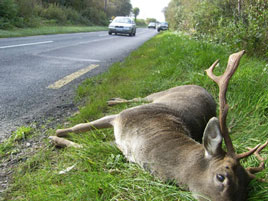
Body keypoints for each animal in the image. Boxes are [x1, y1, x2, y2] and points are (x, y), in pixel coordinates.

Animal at [49, 50, 266, 201]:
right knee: (137, 98)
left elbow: (87, 147)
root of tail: (200, 86)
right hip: (157, 95)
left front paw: (57, 139)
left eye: (245, 191)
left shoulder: (123, 148)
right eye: (221, 176)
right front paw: (56, 134)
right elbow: (80, 127)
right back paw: (112, 100)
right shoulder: (121, 117)